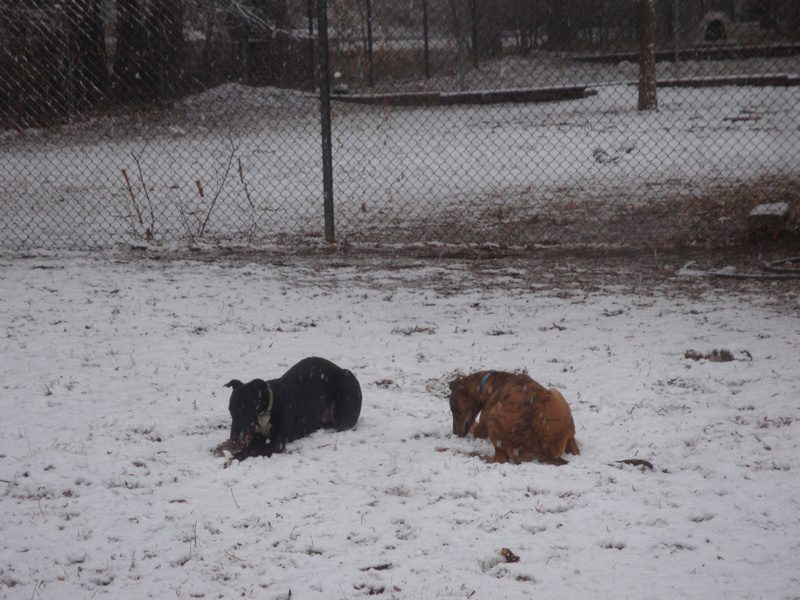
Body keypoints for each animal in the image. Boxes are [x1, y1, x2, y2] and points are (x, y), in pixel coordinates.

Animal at [225, 358, 362, 462]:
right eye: (230, 409)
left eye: (244, 408)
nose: (233, 438)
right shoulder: (257, 437)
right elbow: (251, 449)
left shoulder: (277, 443)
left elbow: (254, 452)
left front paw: (234, 459)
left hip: (347, 383)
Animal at [446, 370, 580, 464]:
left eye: (455, 410)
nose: (455, 434)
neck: (486, 383)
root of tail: (542, 448)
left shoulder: (482, 427)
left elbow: (476, 429)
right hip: (556, 394)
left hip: (494, 414)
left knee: (500, 459)